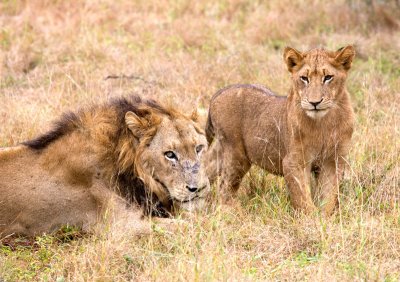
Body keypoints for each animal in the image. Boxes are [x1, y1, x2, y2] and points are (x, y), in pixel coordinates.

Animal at [206, 45, 356, 214]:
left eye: (328, 77)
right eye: (304, 78)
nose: (314, 103)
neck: (324, 123)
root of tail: (219, 92)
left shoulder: (333, 161)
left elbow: (328, 197)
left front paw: (325, 217)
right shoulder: (294, 161)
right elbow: (302, 197)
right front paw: (311, 218)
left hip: (222, 150)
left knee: (205, 167)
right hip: (236, 154)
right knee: (225, 187)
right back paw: (232, 212)